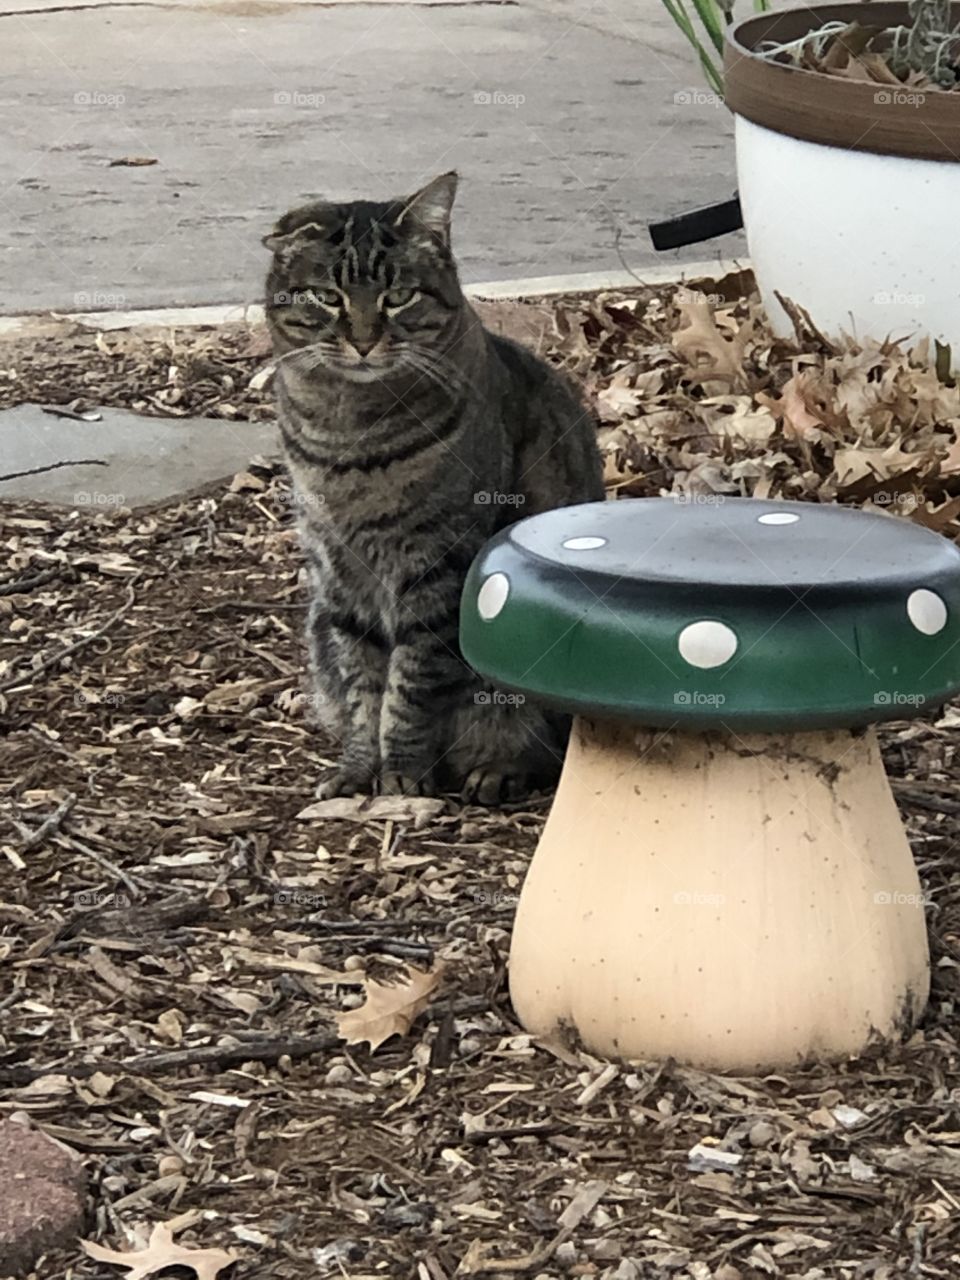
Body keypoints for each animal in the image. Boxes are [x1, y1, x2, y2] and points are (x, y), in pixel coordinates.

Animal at [261, 174, 609, 803]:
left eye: (399, 296)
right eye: (328, 297)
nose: (364, 341)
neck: (347, 432)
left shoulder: (436, 566)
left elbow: (410, 683)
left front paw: (401, 772)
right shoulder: (338, 575)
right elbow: (361, 684)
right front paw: (359, 768)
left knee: (538, 741)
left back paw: (494, 768)